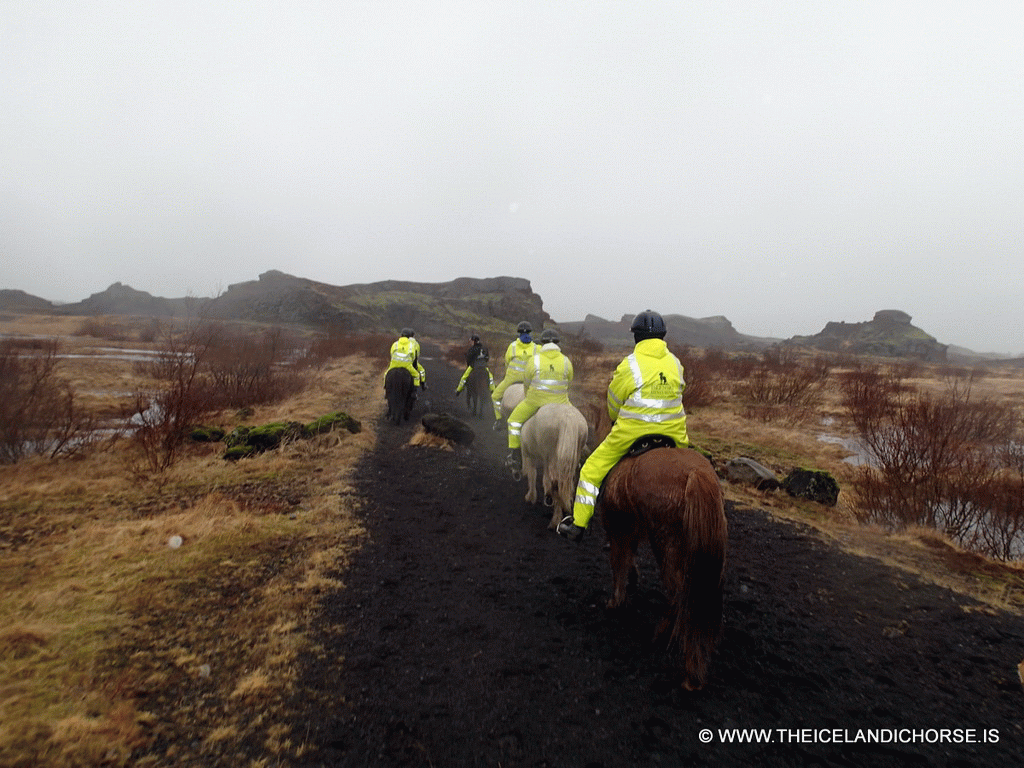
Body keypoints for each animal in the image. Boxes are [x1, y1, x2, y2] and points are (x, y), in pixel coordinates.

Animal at [598, 444, 729, 692]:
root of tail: (697, 474)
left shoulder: (617, 527)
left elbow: (618, 561)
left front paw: (615, 602)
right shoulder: (632, 529)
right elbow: (629, 559)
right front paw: (632, 583)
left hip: (665, 543)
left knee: (677, 592)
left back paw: (661, 637)